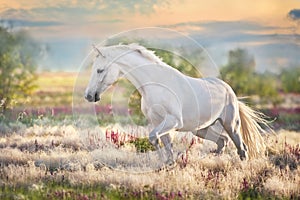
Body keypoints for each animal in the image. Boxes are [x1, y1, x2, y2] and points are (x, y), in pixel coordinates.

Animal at [84, 43, 268, 162]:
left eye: (100, 70)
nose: (89, 96)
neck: (155, 84)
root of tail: (228, 89)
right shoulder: (157, 122)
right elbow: (164, 144)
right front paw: (167, 164)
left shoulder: (172, 121)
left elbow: (153, 138)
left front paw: (164, 162)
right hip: (201, 129)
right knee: (222, 141)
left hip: (231, 125)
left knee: (241, 148)